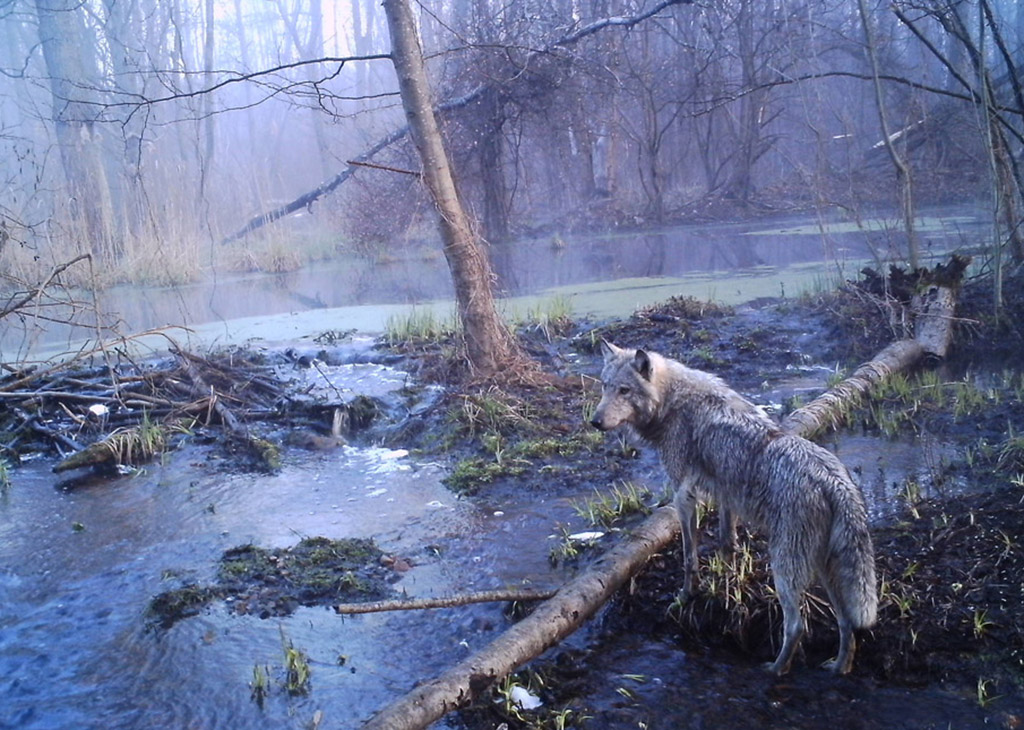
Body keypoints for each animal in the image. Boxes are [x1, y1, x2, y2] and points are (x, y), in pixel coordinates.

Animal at [593, 339, 880, 671]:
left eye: (624, 391)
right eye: (605, 386)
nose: (595, 421)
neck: (672, 403)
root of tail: (834, 481)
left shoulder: (683, 496)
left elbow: (689, 558)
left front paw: (685, 597)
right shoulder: (725, 493)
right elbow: (726, 543)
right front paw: (727, 586)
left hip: (785, 569)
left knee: (796, 626)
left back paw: (775, 670)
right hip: (824, 570)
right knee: (847, 623)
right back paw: (838, 668)